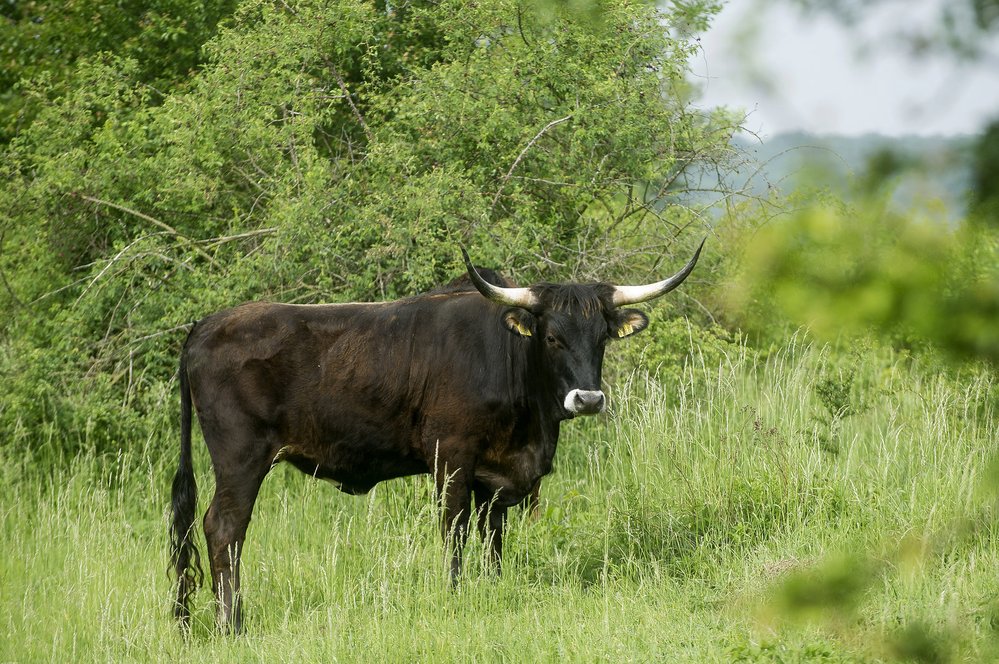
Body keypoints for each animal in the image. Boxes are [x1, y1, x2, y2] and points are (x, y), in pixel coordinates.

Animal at [170, 243, 704, 628]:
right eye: (552, 337)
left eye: (602, 339)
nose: (588, 399)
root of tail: (207, 324)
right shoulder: (451, 458)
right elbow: (455, 530)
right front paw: (453, 594)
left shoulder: (495, 475)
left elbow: (493, 536)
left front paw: (493, 588)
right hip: (241, 459)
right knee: (224, 528)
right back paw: (232, 624)